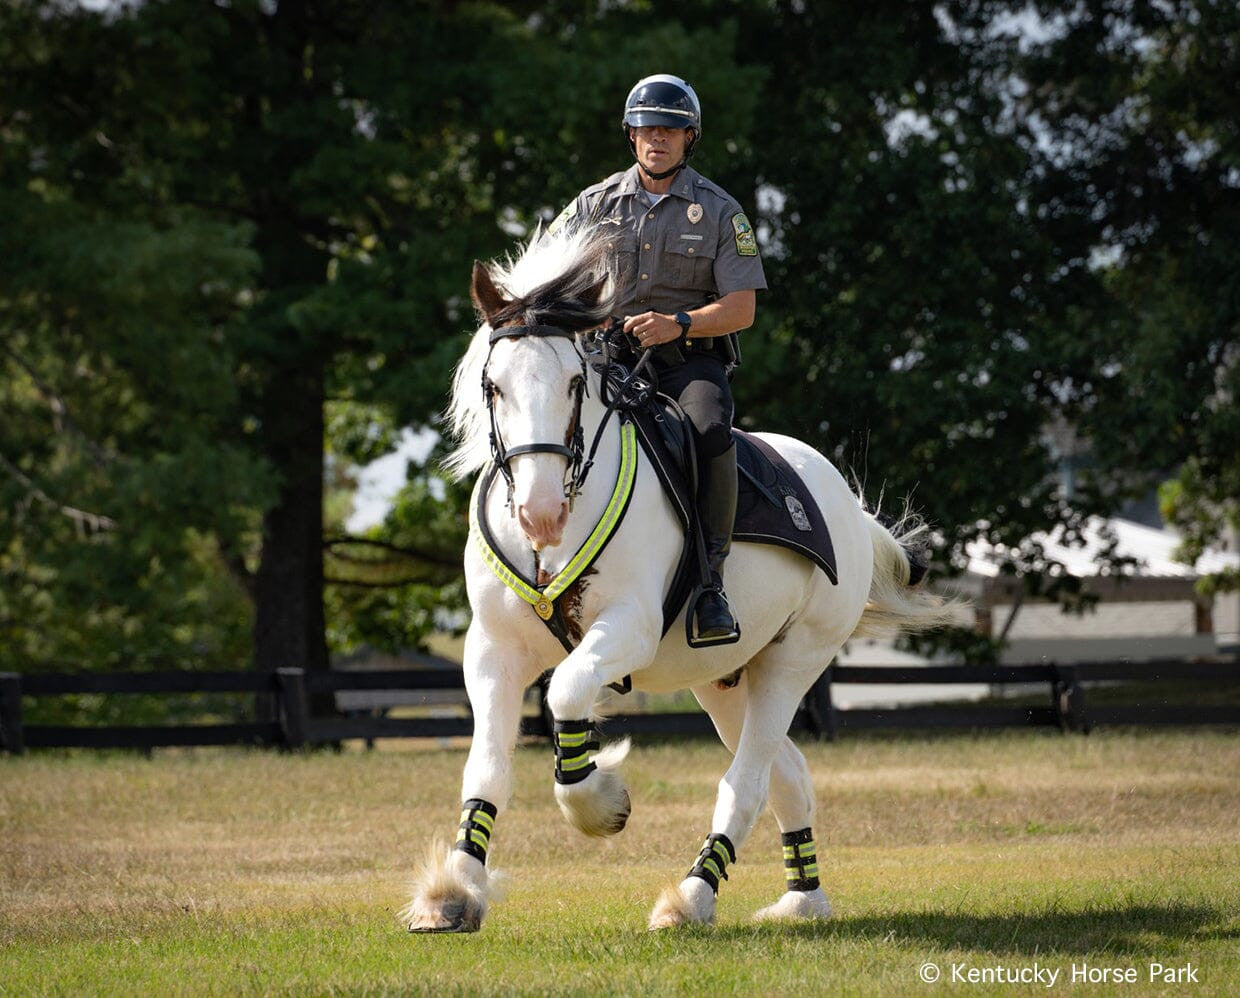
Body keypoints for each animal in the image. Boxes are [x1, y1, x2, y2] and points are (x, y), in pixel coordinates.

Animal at [409, 225, 957, 932]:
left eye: (573, 382)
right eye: (494, 385)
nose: (540, 513)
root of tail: (847, 508)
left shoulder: (629, 629)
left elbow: (566, 694)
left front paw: (601, 803)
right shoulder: (493, 649)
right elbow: (487, 768)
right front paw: (452, 892)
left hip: (794, 661)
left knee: (747, 783)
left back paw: (693, 896)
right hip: (727, 681)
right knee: (789, 776)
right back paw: (802, 900)